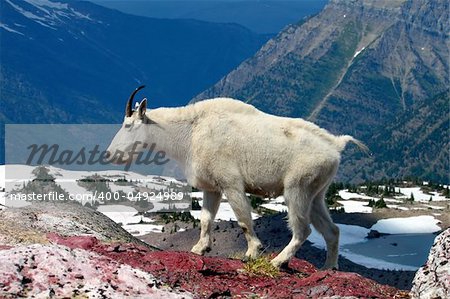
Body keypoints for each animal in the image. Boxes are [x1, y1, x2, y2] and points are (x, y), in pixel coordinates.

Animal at [106, 86, 370, 270]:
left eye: (128, 125)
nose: (109, 154)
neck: (190, 131)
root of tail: (335, 146)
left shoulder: (231, 183)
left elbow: (243, 219)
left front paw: (252, 252)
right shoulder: (212, 188)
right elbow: (205, 219)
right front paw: (199, 249)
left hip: (298, 188)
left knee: (302, 229)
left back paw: (278, 261)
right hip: (317, 193)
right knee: (332, 230)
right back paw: (329, 267)